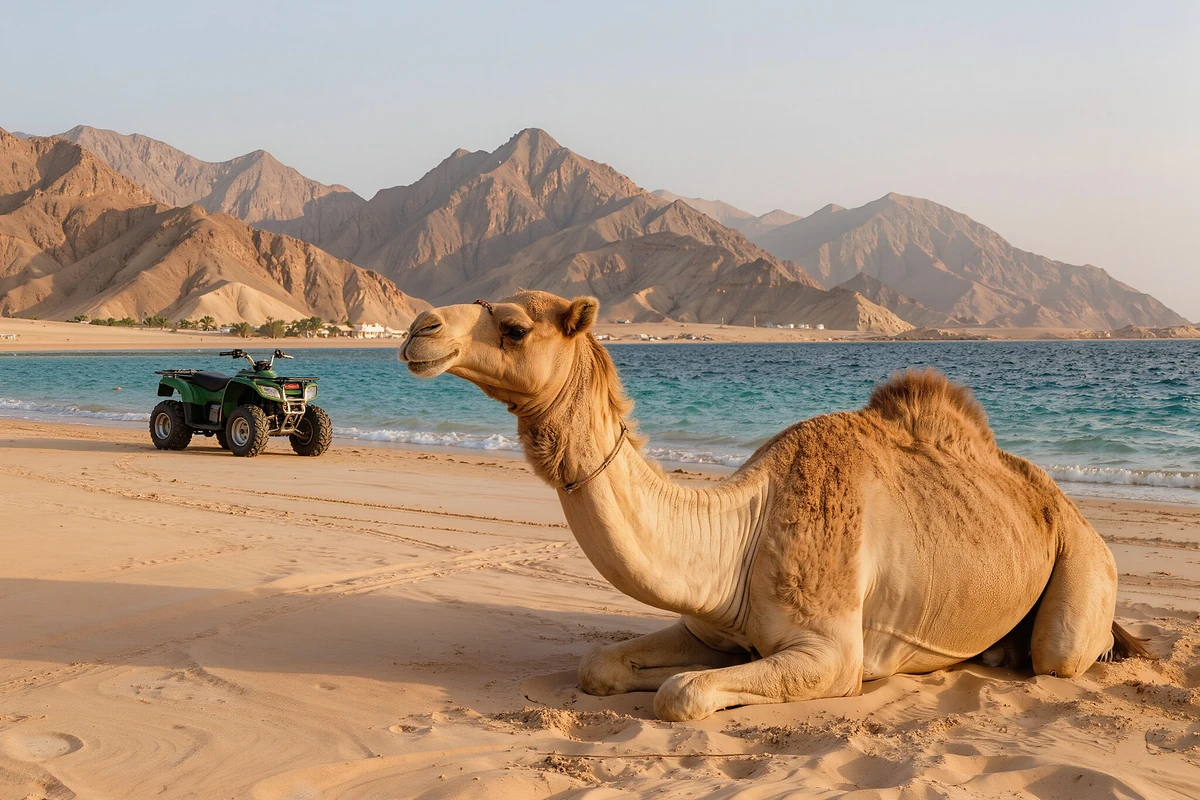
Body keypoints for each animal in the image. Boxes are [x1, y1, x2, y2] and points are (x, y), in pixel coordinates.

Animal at [400, 291, 1152, 721]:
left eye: (514, 328)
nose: (418, 328)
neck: (744, 532)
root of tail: (1062, 502)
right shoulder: (712, 626)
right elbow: (602, 667)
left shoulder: (832, 653)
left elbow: (683, 693)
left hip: (1084, 566)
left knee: (1060, 653)